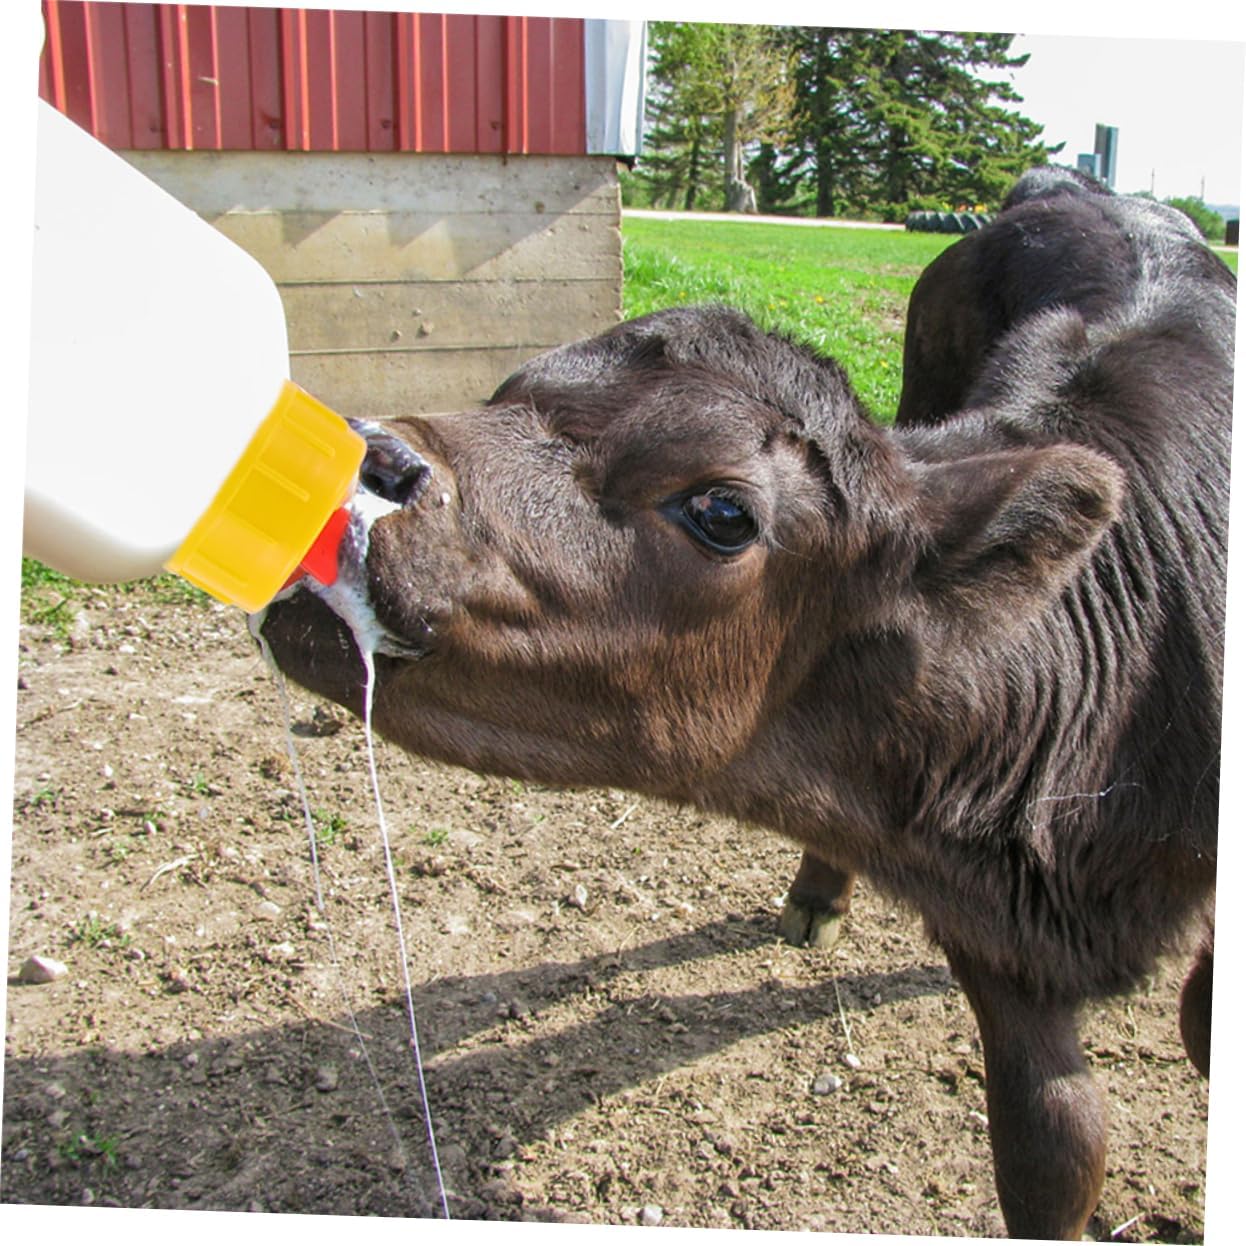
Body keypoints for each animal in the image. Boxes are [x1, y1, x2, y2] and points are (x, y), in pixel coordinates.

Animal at [256, 169, 1233, 1238]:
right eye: (507, 390)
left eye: (722, 510)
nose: (367, 456)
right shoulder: (987, 908)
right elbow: (1052, 1146)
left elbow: (1190, 1037)